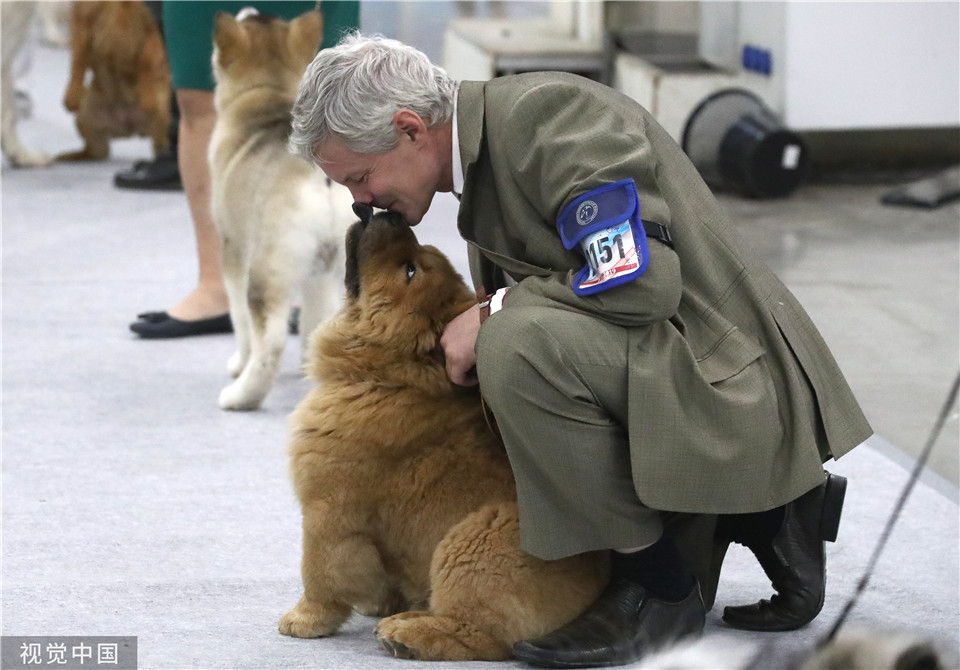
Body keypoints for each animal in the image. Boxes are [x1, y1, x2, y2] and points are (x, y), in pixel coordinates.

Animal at [58, 1, 171, 162]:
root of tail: (130, 129)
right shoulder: (82, 18)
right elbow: (77, 61)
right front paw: (71, 96)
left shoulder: (152, 23)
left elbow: (147, 61)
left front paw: (148, 99)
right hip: (85, 111)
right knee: (98, 152)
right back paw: (70, 155)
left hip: (164, 110)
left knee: (163, 143)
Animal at [210, 7, 356, 412]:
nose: (252, 9)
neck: (267, 93)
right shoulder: (320, 275)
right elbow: (312, 320)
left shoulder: (232, 249)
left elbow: (239, 322)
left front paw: (238, 362)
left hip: (267, 268)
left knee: (269, 341)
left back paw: (241, 395)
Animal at [280, 209, 608, 660]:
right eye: (415, 259)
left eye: (410, 269)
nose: (390, 214)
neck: (386, 379)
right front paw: (377, 603)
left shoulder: (328, 509)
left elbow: (318, 571)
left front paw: (303, 621)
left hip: (472, 539)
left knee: (479, 637)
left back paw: (406, 634)